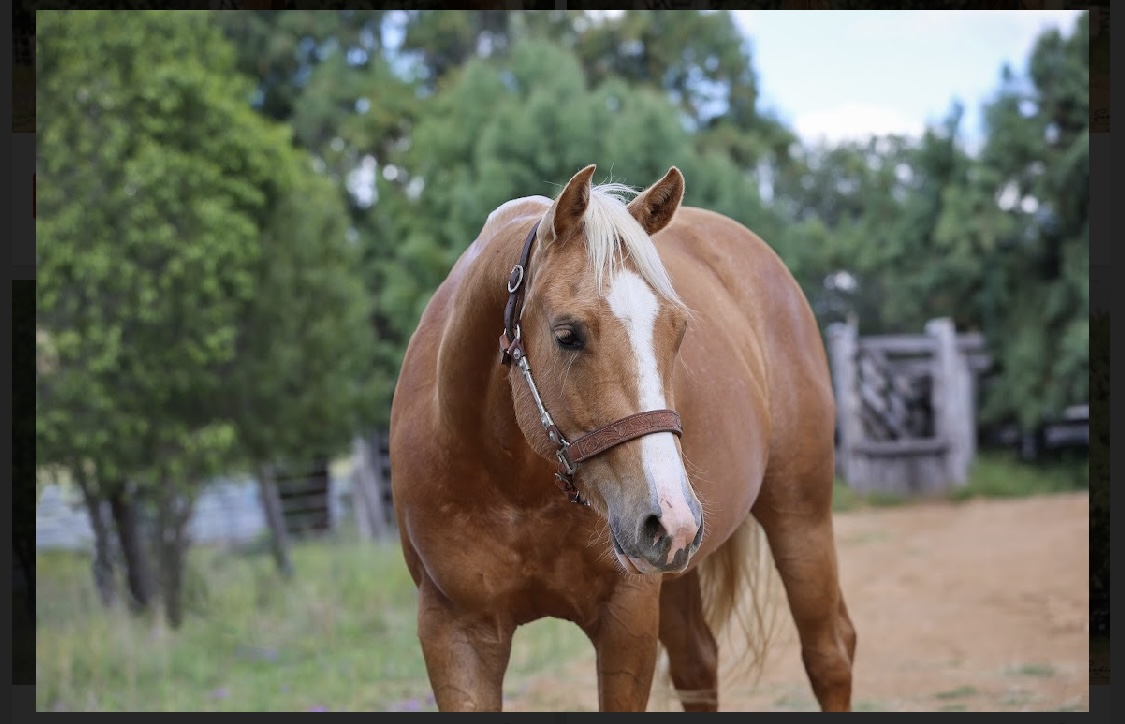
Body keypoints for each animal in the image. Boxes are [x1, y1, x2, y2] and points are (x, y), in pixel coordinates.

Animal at [389, 165, 857, 712]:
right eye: (567, 334)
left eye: (679, 330)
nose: (669, 516)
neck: (510, 484)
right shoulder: (454, 632)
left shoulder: (626, 620)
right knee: (699, 664)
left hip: (799, 516)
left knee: (829, 652)